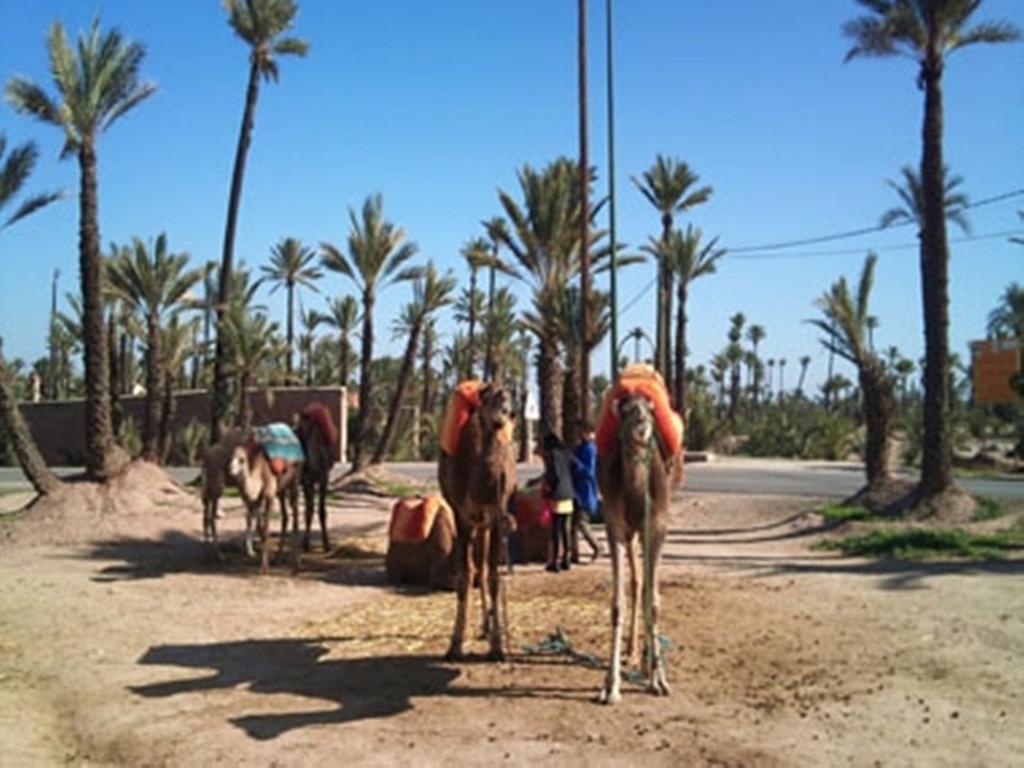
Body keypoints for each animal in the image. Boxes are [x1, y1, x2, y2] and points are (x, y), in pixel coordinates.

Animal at [226, 438, 301, 577]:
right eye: (231, 458)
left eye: (242, 459)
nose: (230, 469)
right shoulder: (258, 500)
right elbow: (260, 530)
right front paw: (263, 565)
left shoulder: (269, 495)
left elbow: (266, 531)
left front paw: (265, 569)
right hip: (281, 490)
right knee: (285, 516)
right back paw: (277, 559)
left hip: (295, 480)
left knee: (295, 516)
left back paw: (296, 568)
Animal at [294, 403, 337, 552]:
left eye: (301, 428)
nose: (293, 432)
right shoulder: (308, 481)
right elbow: (309, 510)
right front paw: (306, 543)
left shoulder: (324, 479)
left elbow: (322, 511)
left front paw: (327, 544)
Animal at [440, 385, 520, 663]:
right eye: (492, 397)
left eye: (509, 397)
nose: (509, 413)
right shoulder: (462, 517)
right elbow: (464, 577)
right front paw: (454, 645)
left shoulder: (494, 517)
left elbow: (494, 577)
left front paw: (497, 646)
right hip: (476, 524)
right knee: (477, 567)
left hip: (485, 525)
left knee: (483, 568)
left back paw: (487, 627)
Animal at [598, 393, 679, 708]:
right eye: (627, 411)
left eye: (650, 411)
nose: (642, 425)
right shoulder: (615, 528)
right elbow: (617, 604)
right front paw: (611, 686)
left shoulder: (657, 526)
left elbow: (654, 602)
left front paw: (660, 680)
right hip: (632, 535)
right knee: (636, 581)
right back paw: (633, 652)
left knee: (645, 586)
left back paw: (646, 663)